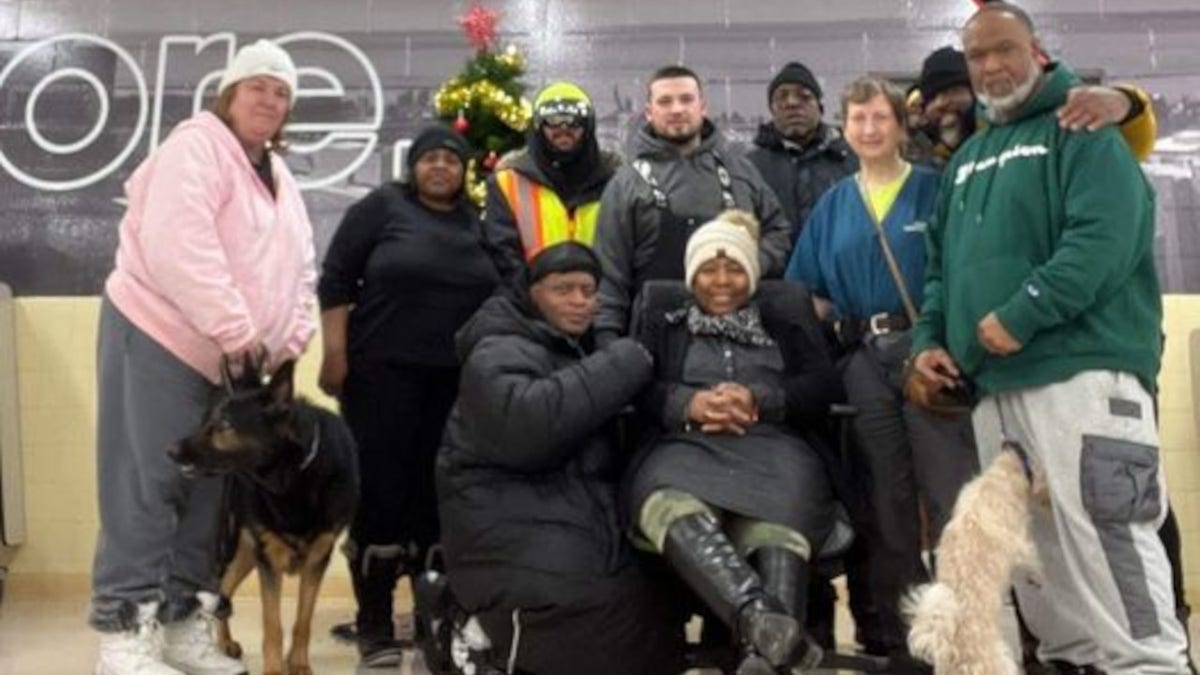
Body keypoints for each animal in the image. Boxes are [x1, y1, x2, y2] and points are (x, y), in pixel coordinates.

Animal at [169, 355, 357, 667]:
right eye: (205, 422)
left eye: (224, 424)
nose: (170, 451)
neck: (292, 478)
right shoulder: (268, 559)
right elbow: (273, 626)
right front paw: (275, 668)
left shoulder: (317, 558)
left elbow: (302, 621)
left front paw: (298, 664)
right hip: (238, 544)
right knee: (220, 588)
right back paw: (219, 644)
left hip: (247, 550)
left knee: (225, 588)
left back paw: (222, 643)